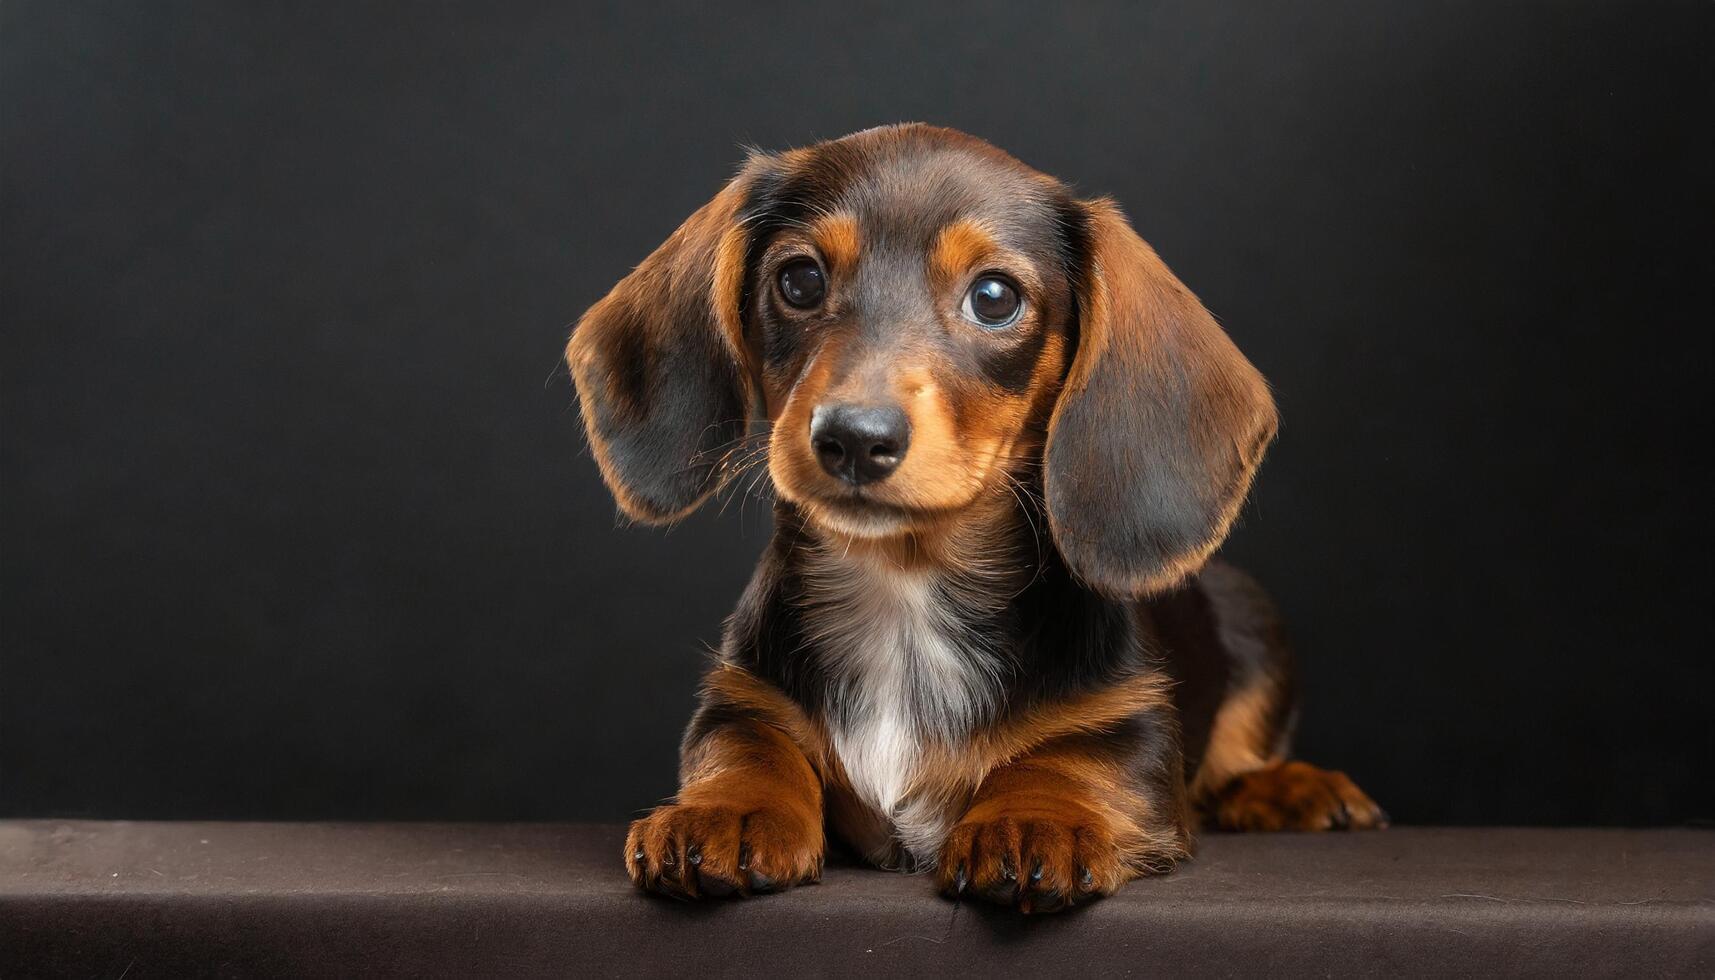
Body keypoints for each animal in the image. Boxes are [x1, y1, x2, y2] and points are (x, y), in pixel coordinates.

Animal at [569, 126, 1385, 919]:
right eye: (798, 281)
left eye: (994, 297)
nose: (853, 438)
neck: (904, 591)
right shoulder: (742, 700)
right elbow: (749, 747)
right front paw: (727, 810)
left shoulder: (1132, 724)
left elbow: (1070, 759)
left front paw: (1033, 818)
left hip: (1251, 611)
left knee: (1234, 763)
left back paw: (1290, 787)